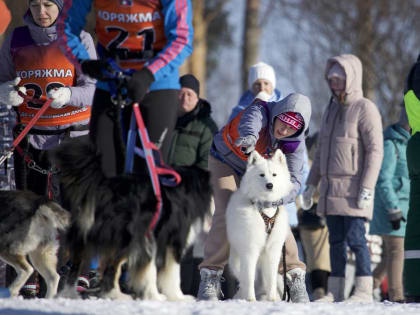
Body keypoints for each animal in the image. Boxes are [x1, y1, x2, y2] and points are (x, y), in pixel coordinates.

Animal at [226, 149, 292, 302]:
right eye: (261, 175)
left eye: (274, 175)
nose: (269, 185)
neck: (265, 208)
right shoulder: (250, 249)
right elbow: (249, 278)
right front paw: (250, 299)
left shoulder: (273, 251)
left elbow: (271, 279)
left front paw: (272, 299)